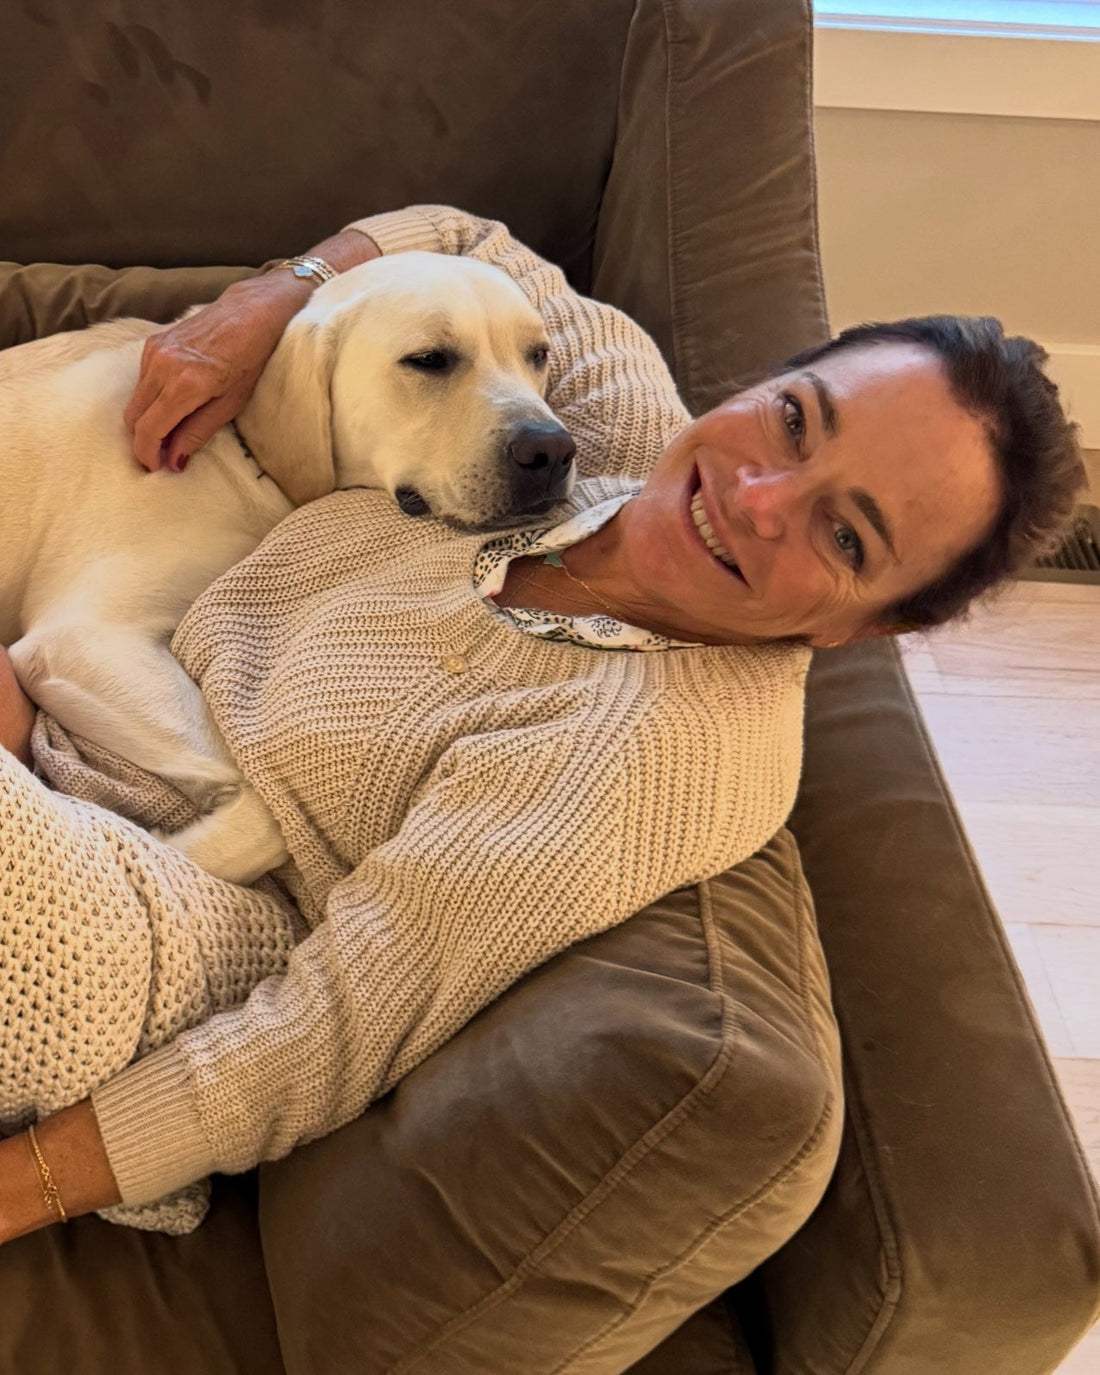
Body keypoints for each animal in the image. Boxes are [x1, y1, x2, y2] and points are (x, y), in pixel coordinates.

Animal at [0, 252, 575, 883]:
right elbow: (271, 808)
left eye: (537, 354)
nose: (552, 450)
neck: (243, 450)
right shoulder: (78, 640)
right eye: (429, 360)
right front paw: (168, 850)